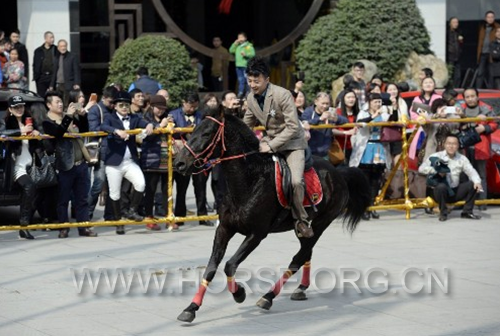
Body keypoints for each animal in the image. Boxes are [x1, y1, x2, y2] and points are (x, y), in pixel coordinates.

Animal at [174, 108, 370, 322]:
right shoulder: (224, 228)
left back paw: (268, 297)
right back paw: (300, 289)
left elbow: (230, 265)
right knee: (306, 253)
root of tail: (339, 173)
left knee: (298, 259)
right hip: (303, 227)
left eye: (207, 133)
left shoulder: (257, 234)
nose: (180, 163)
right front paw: (191, 308)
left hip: (321, 224)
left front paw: (239, 293)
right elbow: (210, 268)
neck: (249, 180)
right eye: (193, 130)